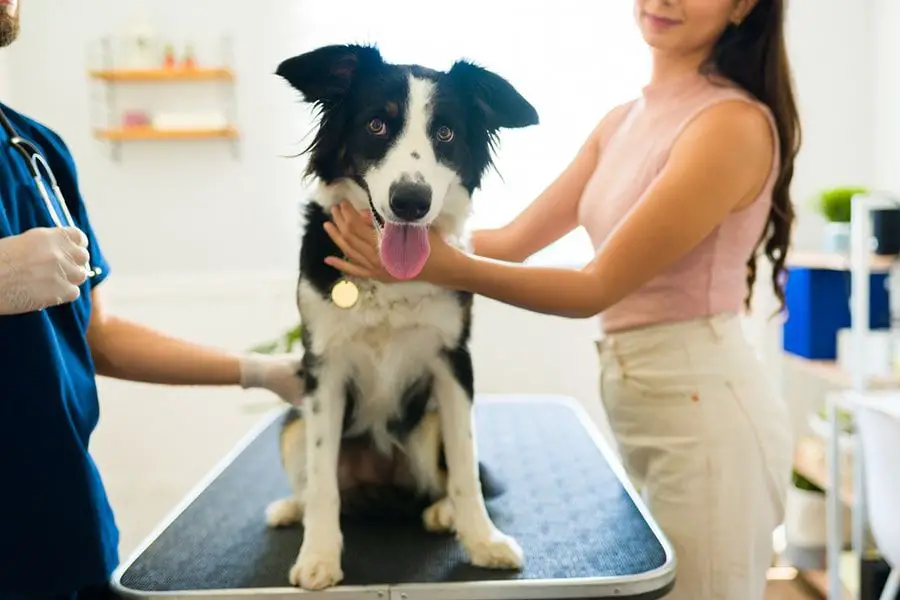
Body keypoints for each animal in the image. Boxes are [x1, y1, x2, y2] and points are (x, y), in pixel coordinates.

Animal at [264, 43, 536, 592]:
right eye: (376, 124)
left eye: (446, 133)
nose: (411, 201)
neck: (388, 275)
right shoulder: (322, 369)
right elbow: (322, 481)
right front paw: (319, 555)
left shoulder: (454, 364)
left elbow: (466, 465)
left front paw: (483, 540)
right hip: (292, 422)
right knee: (314, 479)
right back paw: (293, 508)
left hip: (426, 421)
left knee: (444, 476)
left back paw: (444, 512)